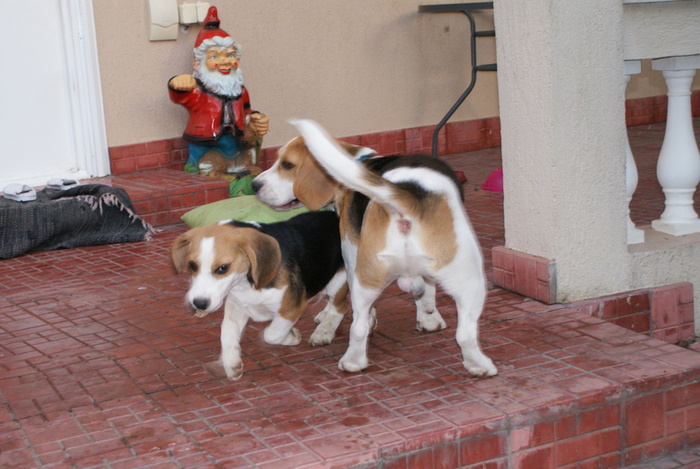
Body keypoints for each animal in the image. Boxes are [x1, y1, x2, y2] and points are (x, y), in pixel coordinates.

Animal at [172, 210, 348, 378]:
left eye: (223, 268)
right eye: (192, 265)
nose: (199, 304)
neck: (245, 283)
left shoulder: (291, 309)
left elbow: (271, 334)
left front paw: (291, 336)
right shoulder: (236, 306)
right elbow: (227, 333)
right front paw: (231, 362)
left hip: (338, 282)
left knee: (340, 308)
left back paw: (324, 331)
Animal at [254, 119, 494, 376]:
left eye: (287, 165)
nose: (254, 185)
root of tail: (408, 202)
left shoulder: (350, 254)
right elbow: (426, 291)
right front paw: (429, 317)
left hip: (364, 275)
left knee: (358, 325)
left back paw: (352, 360)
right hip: (470, 280)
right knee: (466, 333)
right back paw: (479, 365)